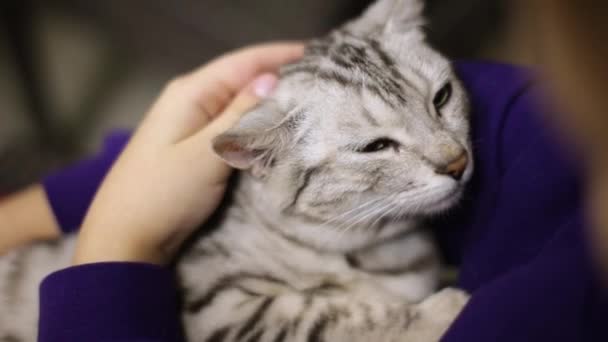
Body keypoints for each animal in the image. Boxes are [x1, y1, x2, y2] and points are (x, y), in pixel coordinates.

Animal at [0, 0, 472, 340]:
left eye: (442, 97)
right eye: (376, 147)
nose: (458, 162)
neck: (380, 247)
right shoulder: (221, 308)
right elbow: (335, 320)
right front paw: (446, 311)